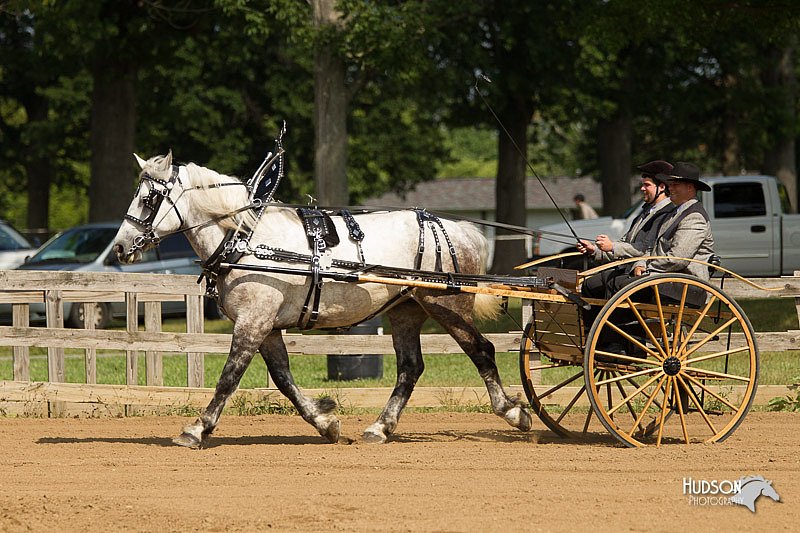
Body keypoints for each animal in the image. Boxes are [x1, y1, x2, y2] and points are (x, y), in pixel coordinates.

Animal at [108, 153, 532, 444]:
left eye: (149, 199)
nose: (120, 247)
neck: (245, 238)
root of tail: (454, 228)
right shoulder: (267, 326)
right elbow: (283, 380)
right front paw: (325, 422)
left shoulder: (253, 322)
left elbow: (229, 377)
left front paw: (197, 429)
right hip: (406, 311)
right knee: (410, 368)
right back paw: (380, 427)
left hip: (446, 306)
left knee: (482, 351)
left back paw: (514, 412)